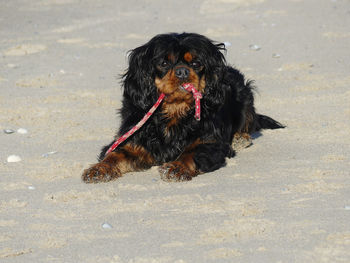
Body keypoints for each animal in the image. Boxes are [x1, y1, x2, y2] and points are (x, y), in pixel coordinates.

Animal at [82, 32, 284, 184]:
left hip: (245, 97)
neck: (174, 111)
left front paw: (175, 167)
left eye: (196, 63)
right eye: (164, 63)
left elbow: (190, 153)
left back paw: (241, 138)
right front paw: (99, 169)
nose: (182, 71)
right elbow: (115, 154)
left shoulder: (210, 143)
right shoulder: (134, 139)